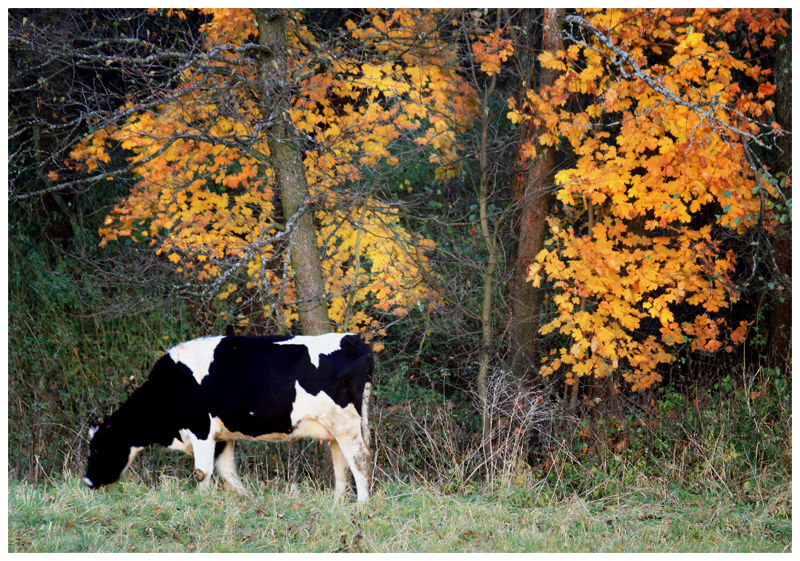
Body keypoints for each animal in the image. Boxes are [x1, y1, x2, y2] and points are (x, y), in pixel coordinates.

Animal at [84, 330, 376, 500]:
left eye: (98, 448)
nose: (87, 481)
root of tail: (355, 339)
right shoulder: (222, 436)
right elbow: (227, 471)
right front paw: (248, 499)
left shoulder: (201, 428)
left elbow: (202, 471)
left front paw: (199, 501)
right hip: (335, 429)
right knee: (341, 464)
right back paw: (338, 505)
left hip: (345, 422)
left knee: (360, 458)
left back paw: (361, 506)